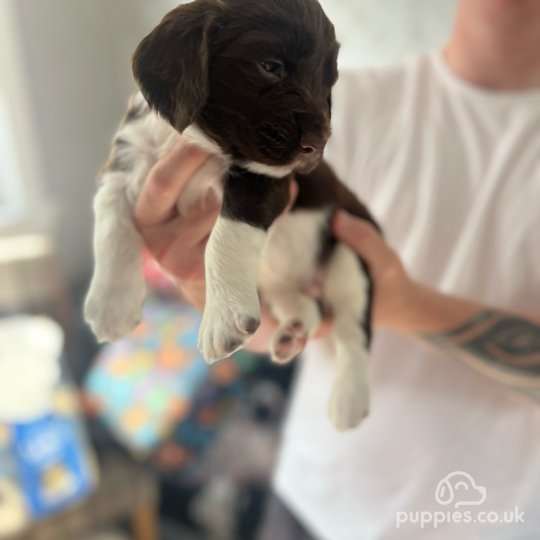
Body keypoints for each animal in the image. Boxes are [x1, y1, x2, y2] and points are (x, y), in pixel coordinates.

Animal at [85, 0, 380, 430]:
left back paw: (349, 396)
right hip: (279, 282)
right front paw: (111, 302)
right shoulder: (126, 159)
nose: (318, 143)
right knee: (303, 304)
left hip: (349, 255)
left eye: (330, 80)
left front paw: (221, 318)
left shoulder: (267, 180)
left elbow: (224, 240)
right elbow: (109, 219)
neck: (196, 139)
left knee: (352, 330)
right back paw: (292, 331)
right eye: (270, 66)